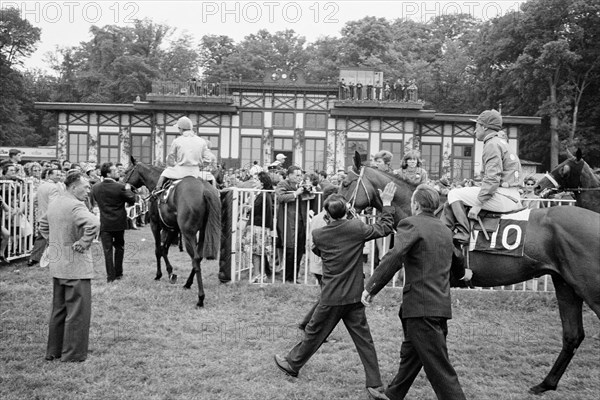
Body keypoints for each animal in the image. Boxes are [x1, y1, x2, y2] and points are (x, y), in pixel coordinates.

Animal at [123, 156, 221, 306]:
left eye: (127, 171)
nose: (122, 185)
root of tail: (205, 190)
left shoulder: (155, 225)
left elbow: (158, 250)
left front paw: (159, 274)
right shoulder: (173, 228)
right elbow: (164, 249)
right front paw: (171, 273)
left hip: (188, 233)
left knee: (195, 258)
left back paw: (200, 298)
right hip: (202, 232)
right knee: (198, 257)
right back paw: (188, 283)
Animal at [338, 152, 600, 396]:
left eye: (345, 183)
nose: (335, 208)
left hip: (588, 288)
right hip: (565, 284)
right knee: (572, 335)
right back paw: (545, 384)